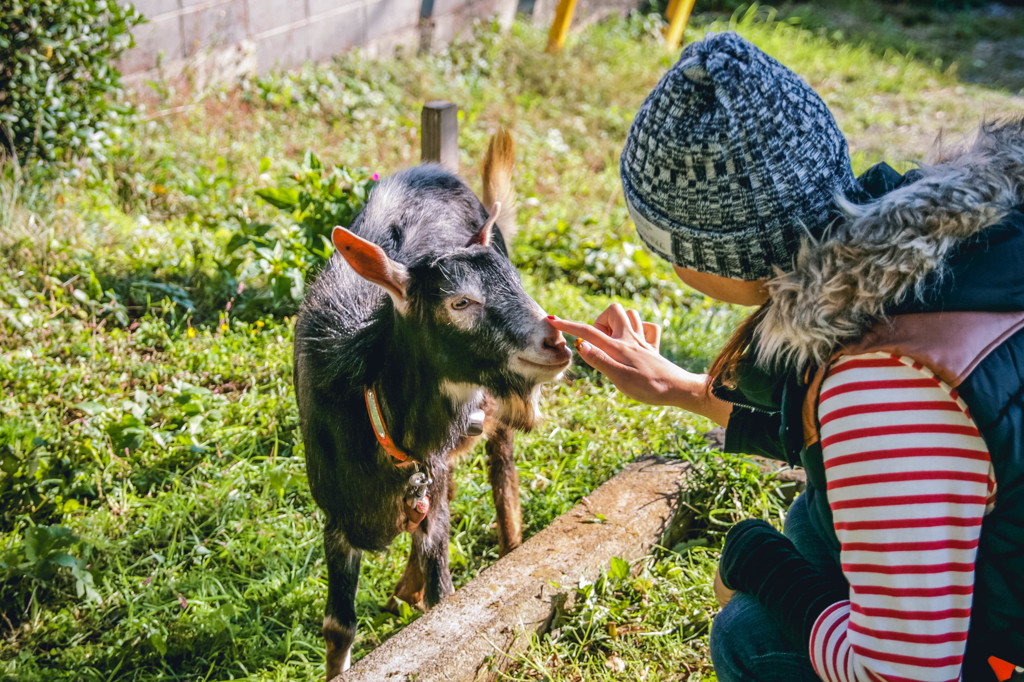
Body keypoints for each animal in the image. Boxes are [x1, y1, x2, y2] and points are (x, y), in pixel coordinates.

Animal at [292, 131, 573, 675]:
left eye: (517, 283)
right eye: (459, 302)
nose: (556, 342)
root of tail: (436, 169)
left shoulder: (433, 490)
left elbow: (444, 602)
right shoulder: (336, 513)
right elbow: (339, 627)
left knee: (501, 465)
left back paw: (508, 550)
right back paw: (406, 584)